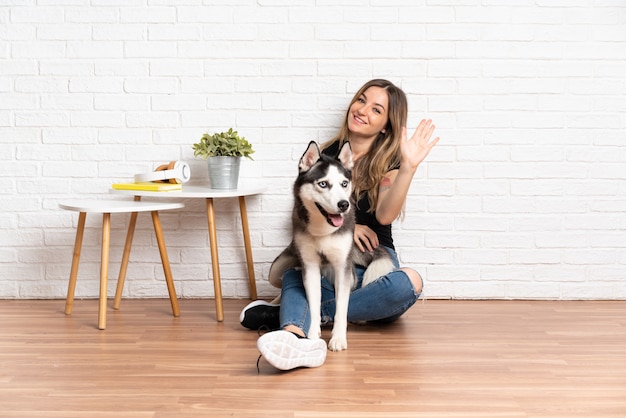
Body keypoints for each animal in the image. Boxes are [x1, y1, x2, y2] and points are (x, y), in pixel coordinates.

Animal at [268, 141, 394, 352]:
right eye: (323, 184)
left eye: (344, 184)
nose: (343, 205)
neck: (323, 230)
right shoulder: (310, 267)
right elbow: (313, 303)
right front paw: (312, 335)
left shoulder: (342, 267)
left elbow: (342, 307)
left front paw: (338, 338)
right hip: (277, 269)